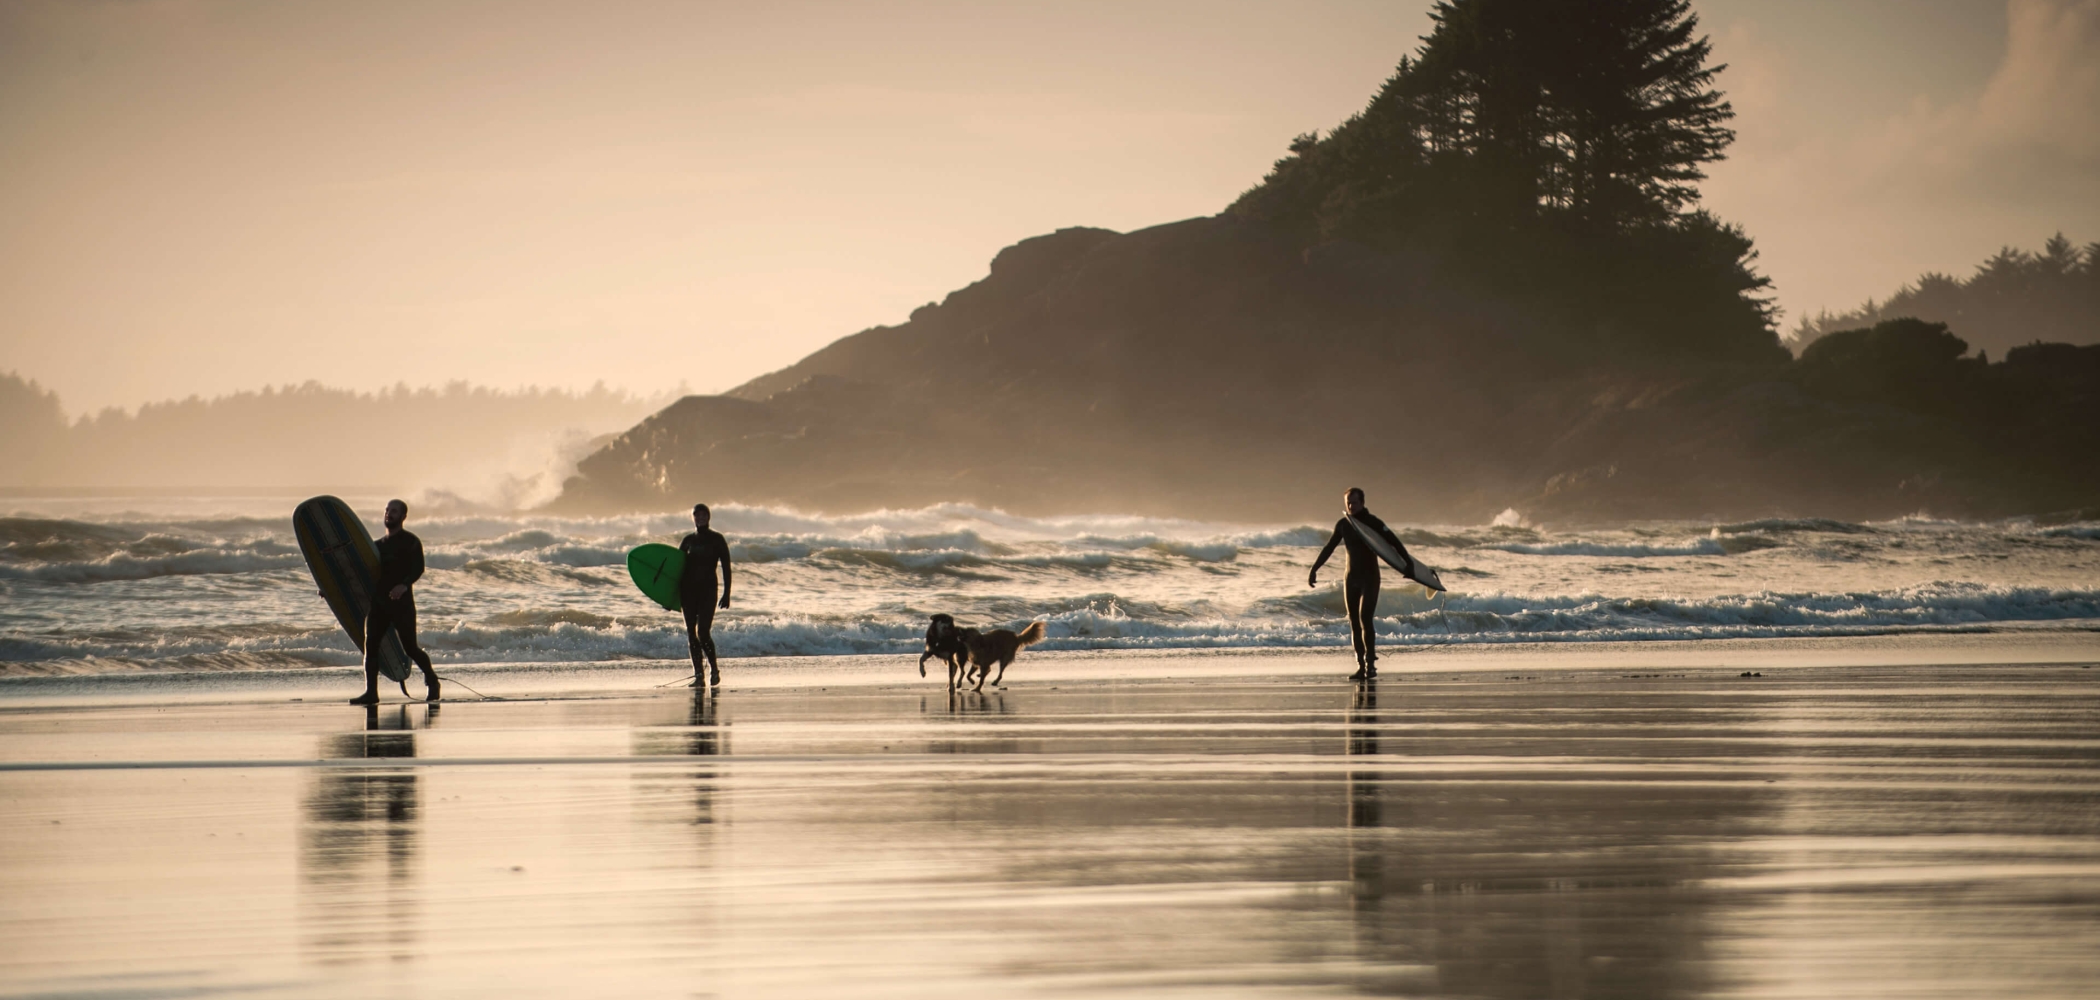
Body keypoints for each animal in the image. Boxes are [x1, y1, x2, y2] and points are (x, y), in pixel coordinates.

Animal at [919, 613, 1050, 693]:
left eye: (966, 630)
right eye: (946, 621)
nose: (956, 628)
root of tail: (1016, 636)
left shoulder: (958, 658)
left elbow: (968, 676)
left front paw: (976, 688)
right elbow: (921, 660)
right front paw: (923, 672)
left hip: (1002, 658)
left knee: (998, 672)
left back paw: (992, 681)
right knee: (965, 671)